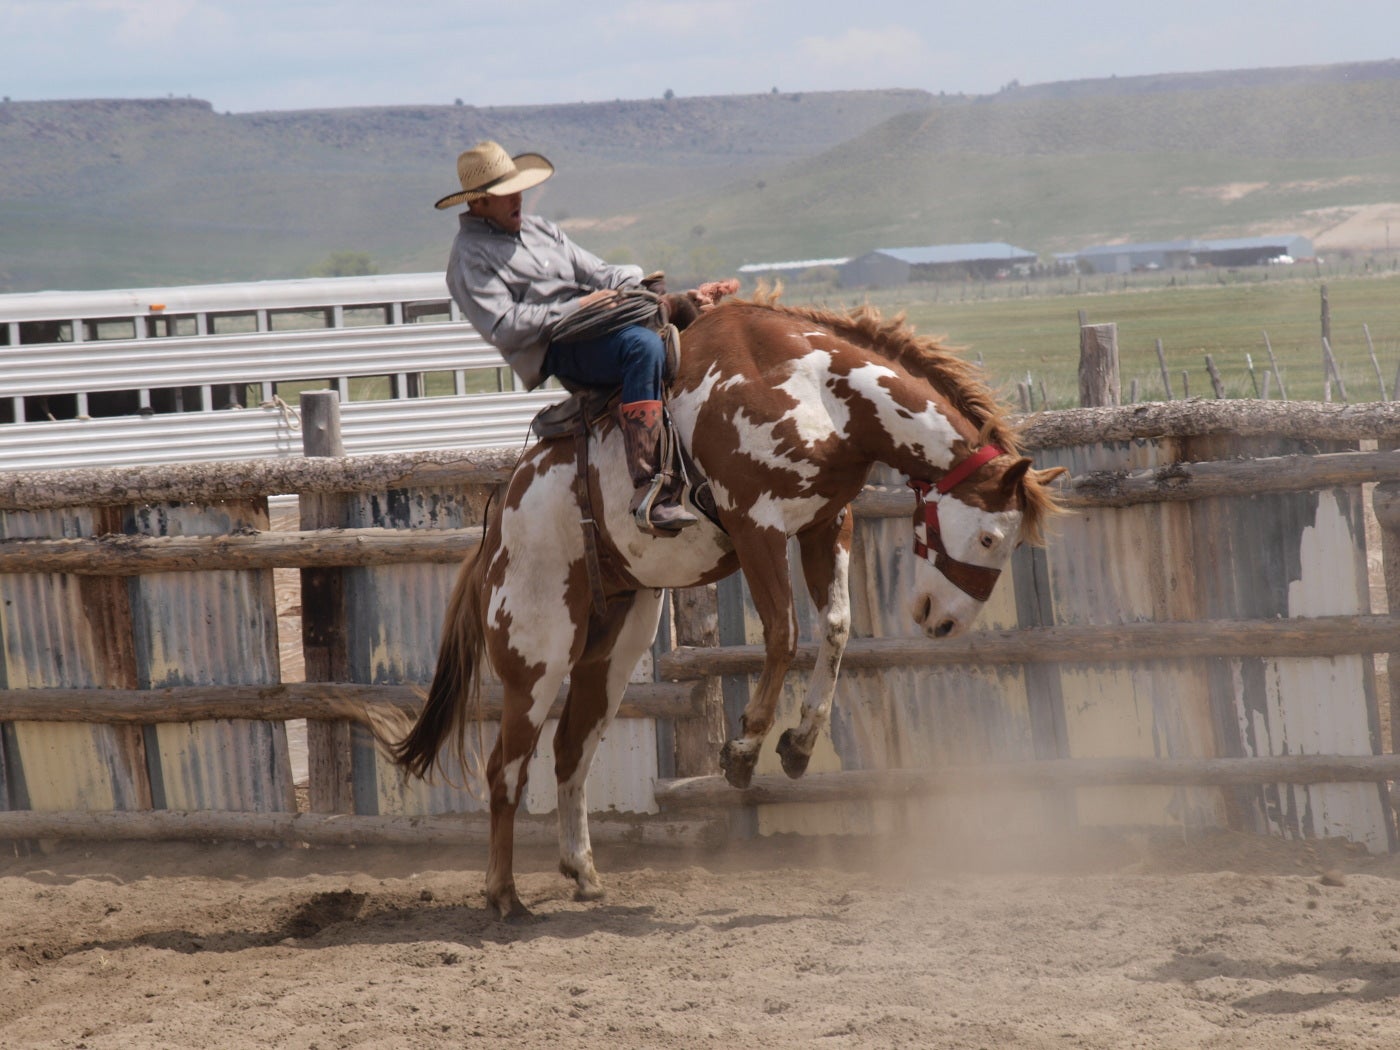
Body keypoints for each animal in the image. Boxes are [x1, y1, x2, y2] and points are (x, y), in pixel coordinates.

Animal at [392, 294, 1058, 918]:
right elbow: (784, 634)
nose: (943, 620)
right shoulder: (754, 523)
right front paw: (744, 751)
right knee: (505, 767)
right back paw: (503, 895)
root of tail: (499, 523)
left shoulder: (825, 524)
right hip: (536, 653)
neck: (820, 390)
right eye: (991, 538)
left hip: (612, 650)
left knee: (570, 753)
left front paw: (799, 745)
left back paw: (582, 872)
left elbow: (836, 628)